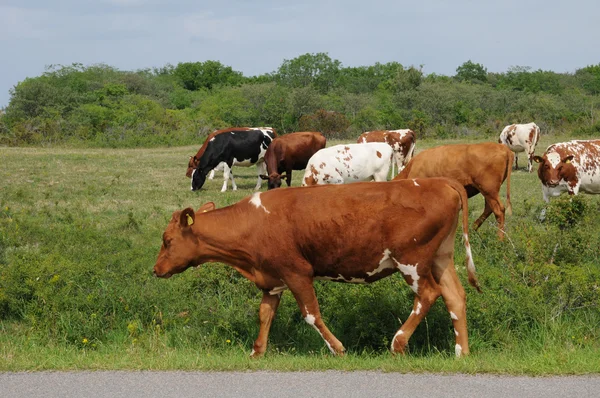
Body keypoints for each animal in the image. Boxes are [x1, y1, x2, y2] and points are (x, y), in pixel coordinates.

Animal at [154, 179, 482, 356]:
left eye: (167, 240)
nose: (156, 269)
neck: (252, 222)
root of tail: (438, 181)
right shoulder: (272, 278)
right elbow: (265, 314)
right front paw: (256, 351)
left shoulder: (297, 272)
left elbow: (311, 315)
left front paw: (337, 348)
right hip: (441, 257)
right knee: (455, 297)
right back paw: (461, 351)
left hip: (411, 261)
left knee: (428, 295)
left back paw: (398, 343)